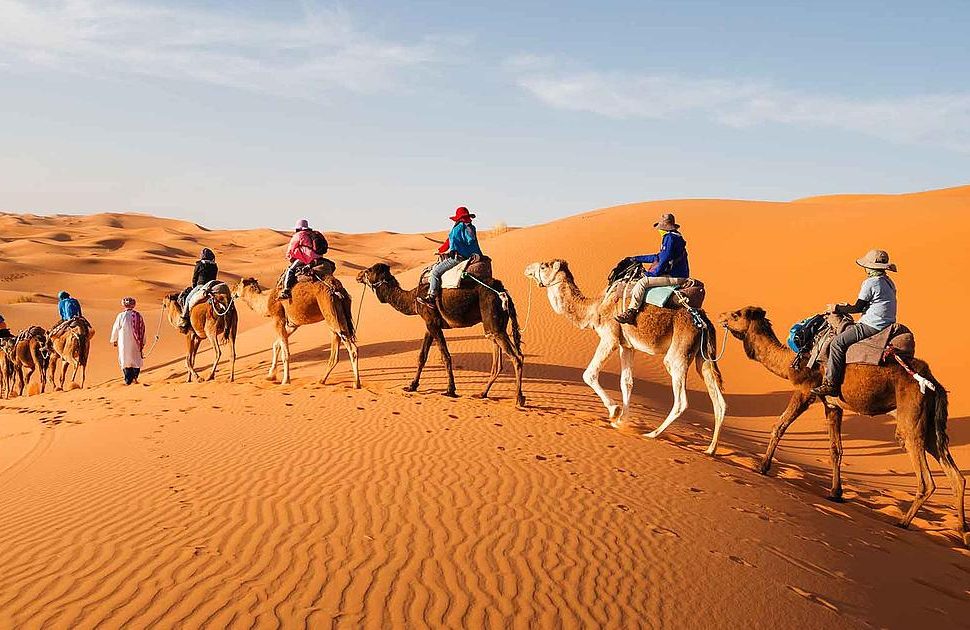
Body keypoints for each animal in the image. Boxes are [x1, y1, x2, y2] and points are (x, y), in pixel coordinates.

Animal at [232, 278, 360, 388]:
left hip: (330, 310)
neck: (266, 301)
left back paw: (356, 383)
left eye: (237, 285)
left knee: (351, 348)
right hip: (339, 315)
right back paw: (322, 380)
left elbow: (285, 353)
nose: (233, 292)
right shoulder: (292, 324)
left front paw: (285, 380)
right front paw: (271, 375)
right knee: (335, 351)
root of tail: (338, 288)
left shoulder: (278, 318)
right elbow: (276, 345)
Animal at [356, 262, 520, 408]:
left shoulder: (433, 323)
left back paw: (519, 399)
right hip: (496, 326)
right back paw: (482, 394)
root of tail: (503, 291)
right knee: (498, 361)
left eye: (369, 270)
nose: (358, 275)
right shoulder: (429, 325)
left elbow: (445, 356)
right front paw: (412, 386)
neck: (413, 298)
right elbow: (422, 356)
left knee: (516, 357)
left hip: (492, 319)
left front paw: (450, 390)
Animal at [520, 260, 728, 454]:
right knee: (719, 401)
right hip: (703, 357)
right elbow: (626, 382)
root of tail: (704, 322)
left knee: (681, 400)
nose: (527, 268)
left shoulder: (609, 338)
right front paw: (622, 421)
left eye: (544, 266)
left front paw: (615, 412)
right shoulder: (626, 345)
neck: (595, 308)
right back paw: (711, 449)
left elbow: (589, 374)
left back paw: (652, 434)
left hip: (679, 352)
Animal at [716, 308, 964, 544]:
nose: (721, 316)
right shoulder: (832, 404)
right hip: (930, 425)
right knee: (956, 476)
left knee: (925, 477)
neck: (791, 361)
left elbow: (779, 426)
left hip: (910, 418)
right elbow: (835, 450)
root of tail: (934, 383)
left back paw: (903, 522)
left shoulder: (805, 391)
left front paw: (762, 467)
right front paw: (835, 493)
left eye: (736, 314)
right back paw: (963, 533)